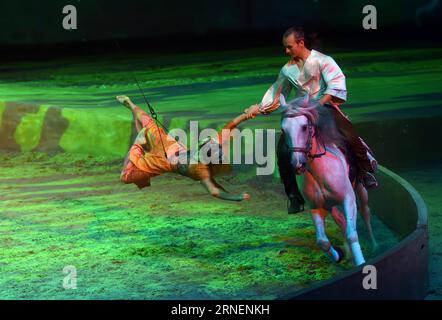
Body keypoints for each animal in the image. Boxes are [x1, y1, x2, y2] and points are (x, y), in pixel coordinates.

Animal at [280, 96, 376, 266]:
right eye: (283, 130)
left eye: (304, 127)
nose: (297, 164)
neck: (319, 172)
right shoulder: (316, 207)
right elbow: (322, 242)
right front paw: (339, 255)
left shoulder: (348, 199)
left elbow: (352, 234)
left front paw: (360, 262)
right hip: (329, 205)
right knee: (340, 220)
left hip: (360, 188)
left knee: (365, 212)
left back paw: (374, 245)